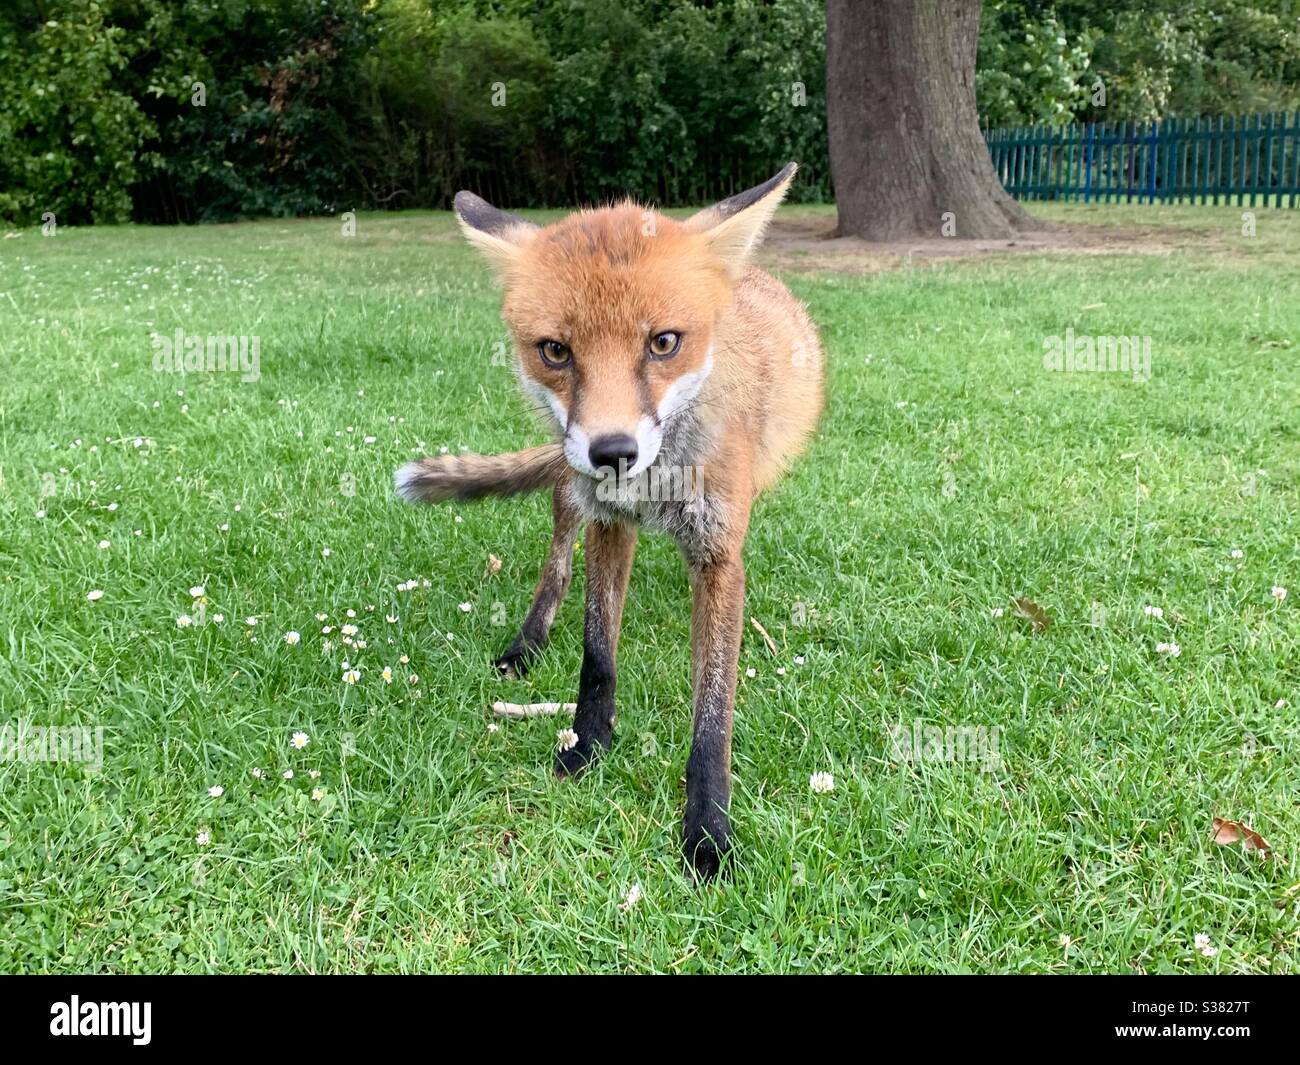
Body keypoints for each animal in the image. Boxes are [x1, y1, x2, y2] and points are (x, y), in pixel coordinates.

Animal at [395, 163, 824, 879]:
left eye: (664, 343)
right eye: (556, 351)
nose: (612, 452)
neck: (653, 489)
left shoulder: (718, 556)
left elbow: (713, 710)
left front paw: (707, 831)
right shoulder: (609, 524)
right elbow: (598, 655)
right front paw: (590, 745)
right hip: (572, 493)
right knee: (556, 559)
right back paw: (529, 641)